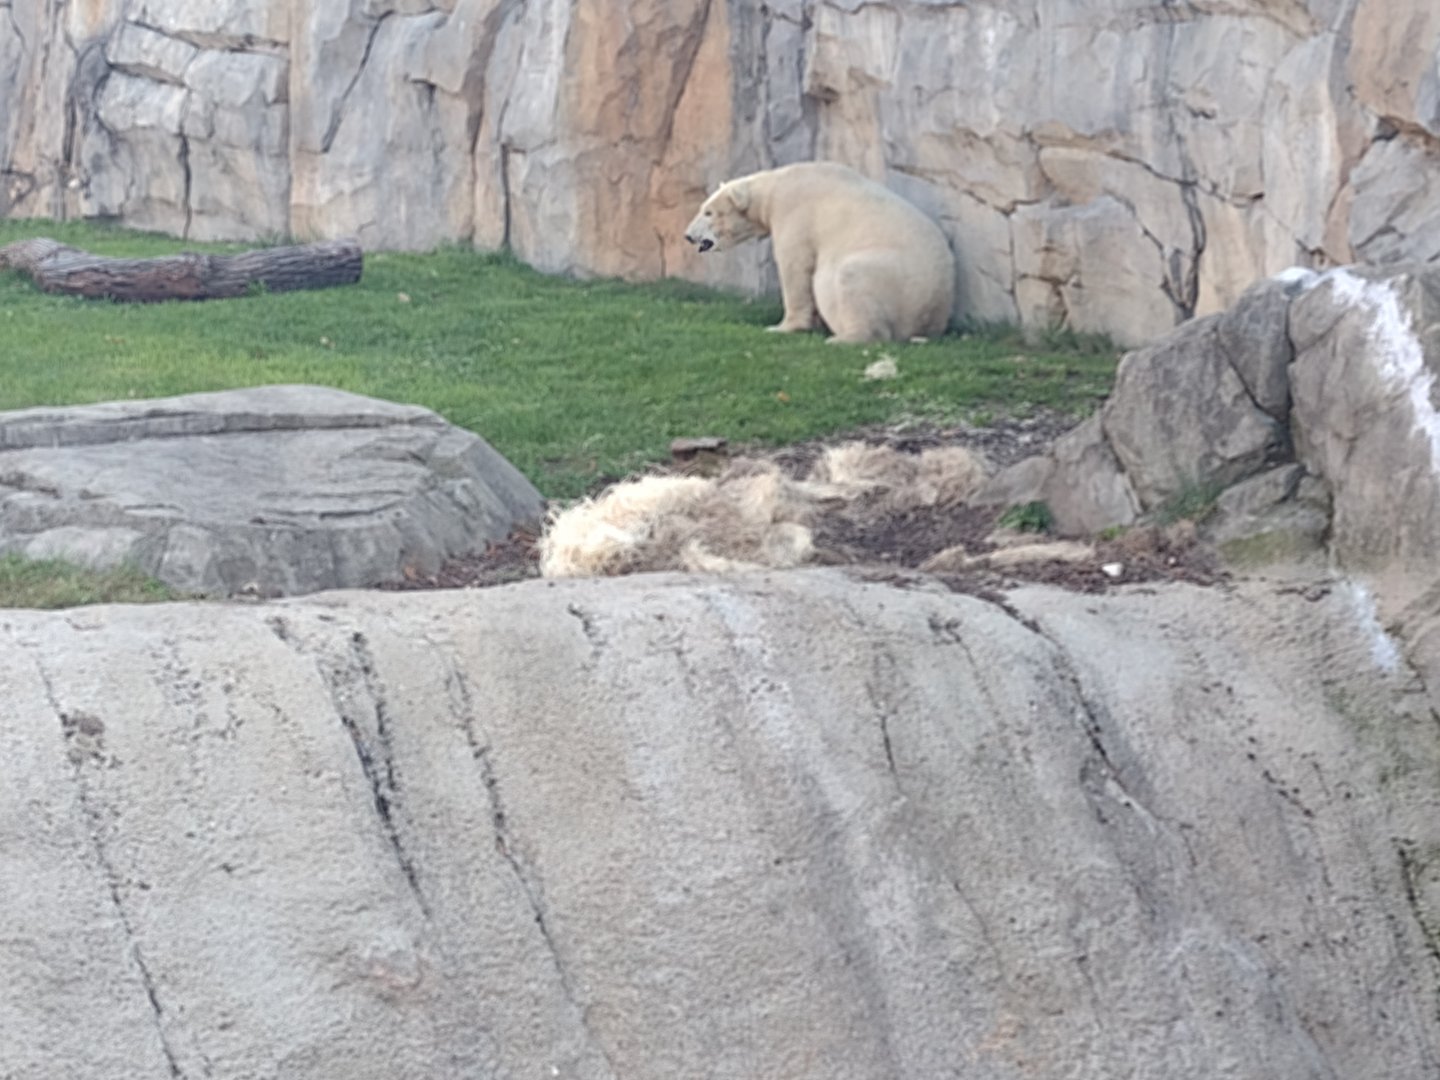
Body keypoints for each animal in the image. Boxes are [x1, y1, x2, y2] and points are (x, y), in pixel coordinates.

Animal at [684, 161, 956, 344]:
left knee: (851, 276)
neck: (775, 186)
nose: (687, 235)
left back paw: (842, 338)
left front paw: (783, 327)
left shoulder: (795, 213)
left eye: (708, 212)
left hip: (897, 280)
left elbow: (795, 267)